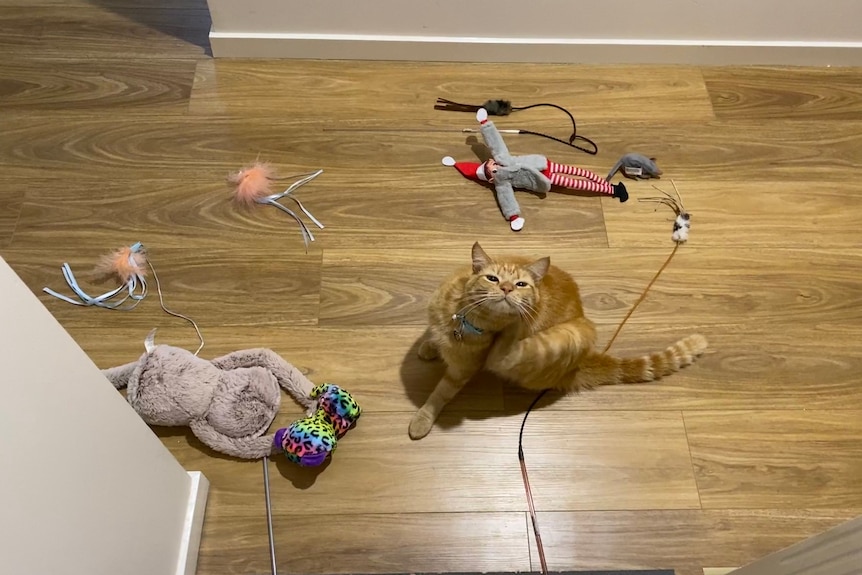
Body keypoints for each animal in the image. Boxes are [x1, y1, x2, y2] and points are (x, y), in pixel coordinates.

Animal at [410, 244, 708, 440]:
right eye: (492, 278)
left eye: (521, 284)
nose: (506, 289)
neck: (462, 321)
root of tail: (584, 360)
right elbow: (430, 335)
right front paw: (428, 346)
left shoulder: (462, 371)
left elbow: (440, 393)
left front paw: (423, 419)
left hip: (563, 338)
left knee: (503, 355)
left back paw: (514, 330)